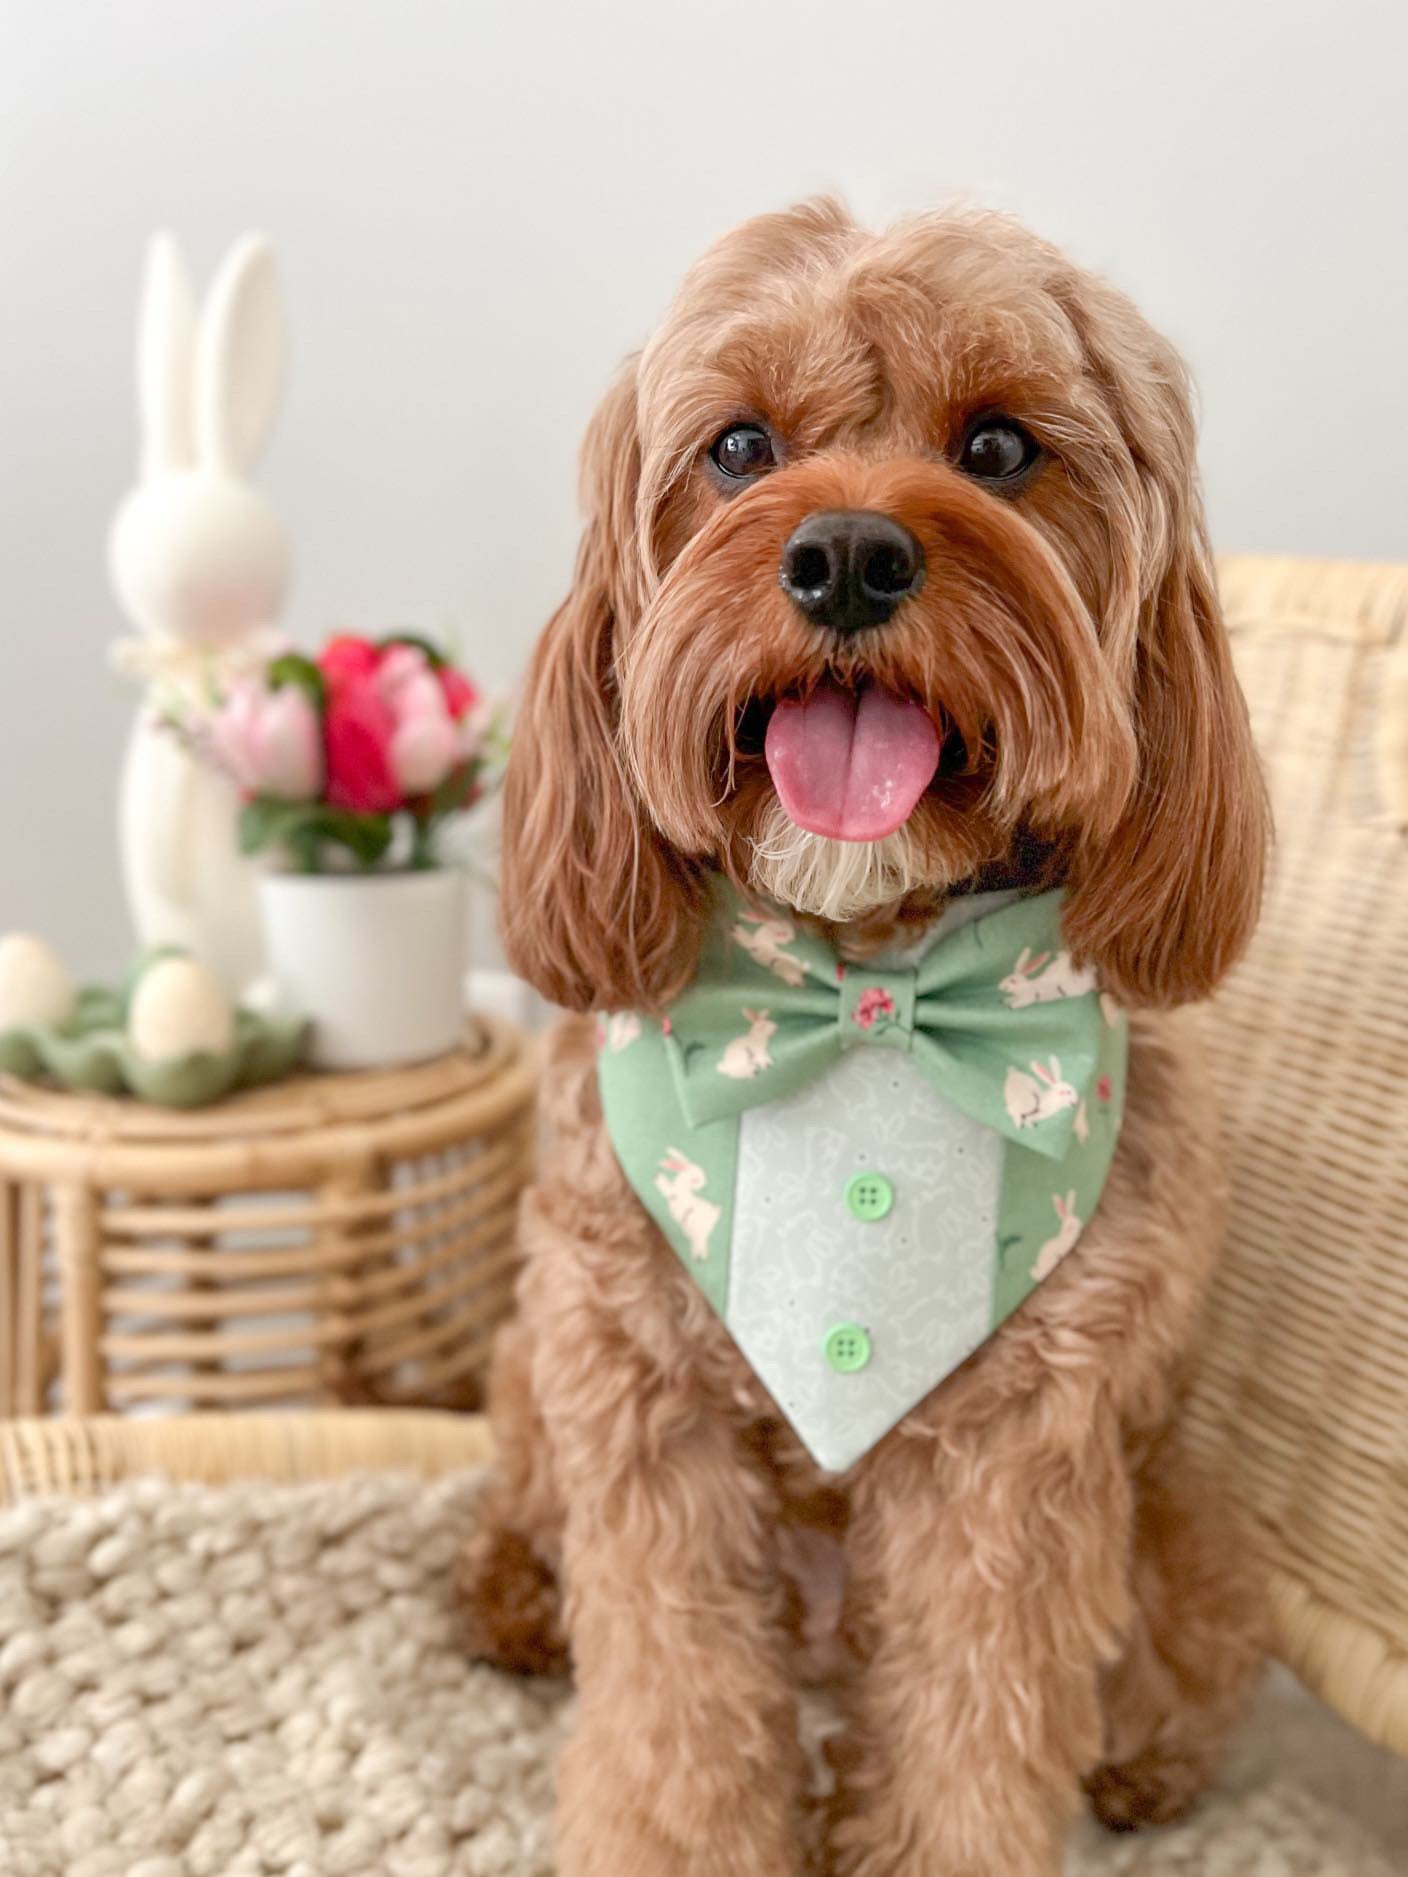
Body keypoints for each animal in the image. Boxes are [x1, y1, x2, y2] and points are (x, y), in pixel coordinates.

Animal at [458, 201, 1276, 1877]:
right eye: (738, 445)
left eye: (1002, 446)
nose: (843, 555)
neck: (866, 994)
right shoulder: (641, 1407)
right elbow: (680, 1725)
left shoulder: (1018, 1457)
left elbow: (976, 1730)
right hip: (533, 1378)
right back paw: (511, 1602)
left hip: (1172, 1510)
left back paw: (1144, 1769)